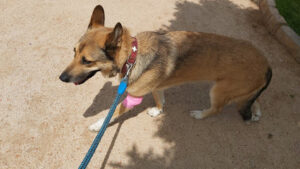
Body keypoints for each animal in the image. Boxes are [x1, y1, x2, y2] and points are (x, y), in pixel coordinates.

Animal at [58, 4, 272, 131]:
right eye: (73, 51)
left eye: (87, 61)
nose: (61, 78)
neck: (132, 56)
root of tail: (267, 65)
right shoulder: (156, 87)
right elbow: (159, 100)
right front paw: (158, 112)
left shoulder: (132, 98)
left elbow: (112, 114)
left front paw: (98, 124)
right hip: (241, 91)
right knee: (254, 99)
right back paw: (256, 112)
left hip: (218, 91)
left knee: (217, 109)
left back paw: (200, 114)